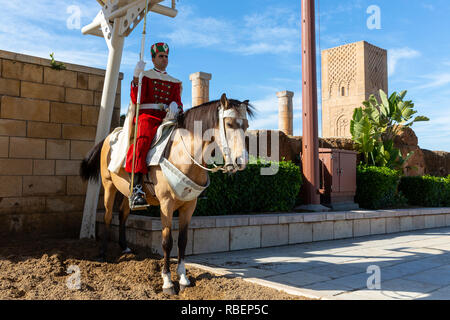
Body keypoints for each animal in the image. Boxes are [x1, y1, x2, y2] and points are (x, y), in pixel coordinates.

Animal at [80, 93, 253, 296]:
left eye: (246, 125)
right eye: (229, 124)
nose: (242, 161)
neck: (183, 155)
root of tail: (111, 135)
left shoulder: (189, 206)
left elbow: (183, 241)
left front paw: (184, 278)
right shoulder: (166, 205)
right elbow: (167, 242)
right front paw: (168, 281)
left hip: (126, 190)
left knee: (123, 213)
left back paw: (125, 246)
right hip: (109, 186)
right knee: (107, 216)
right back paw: (103, 253)